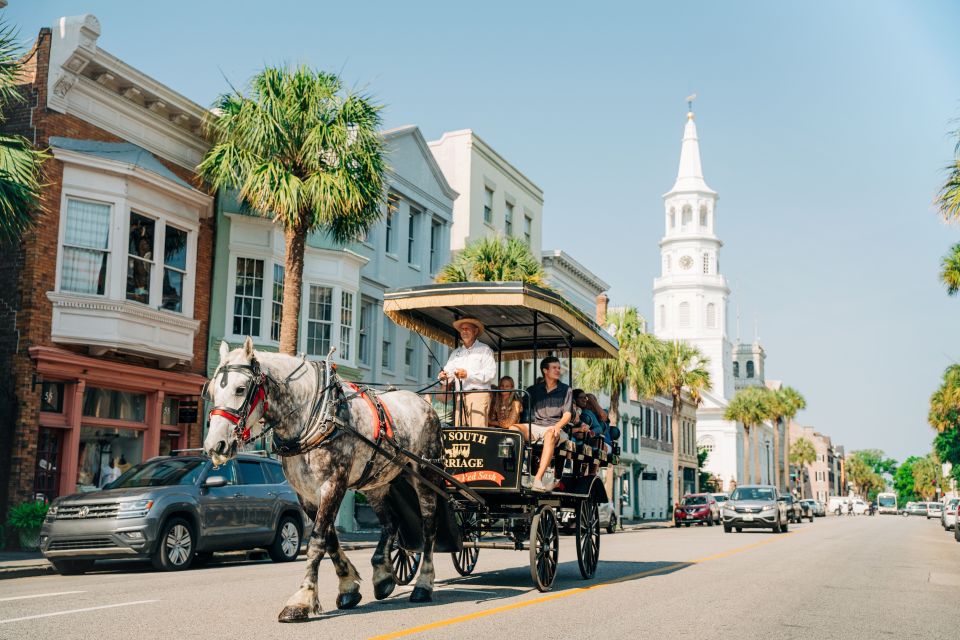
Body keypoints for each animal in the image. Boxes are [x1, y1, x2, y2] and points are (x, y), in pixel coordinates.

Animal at [204, 338, 444, 624]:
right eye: (211, 392)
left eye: (240, 389)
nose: (215, 446)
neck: (313, 415)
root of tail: (423, 402)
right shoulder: (305, 493)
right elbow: (329, 538)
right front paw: (349, 586)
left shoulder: (333, 483)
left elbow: (317, 540)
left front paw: (301, 600)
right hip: (376, 482)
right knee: (391, 522)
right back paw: (383, 576)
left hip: (426, 474)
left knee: (429, 527)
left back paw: (424, 584)